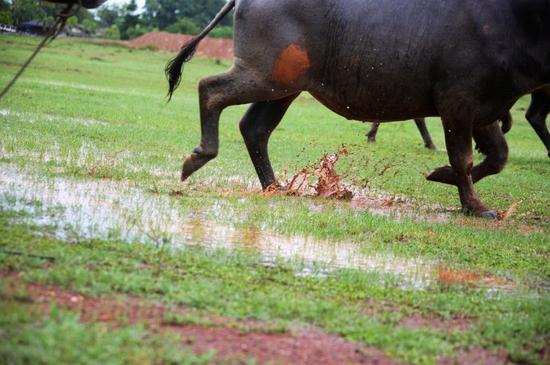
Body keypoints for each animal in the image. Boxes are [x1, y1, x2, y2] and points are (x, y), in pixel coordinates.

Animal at [167, 0, 550, 216]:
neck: (514, 18)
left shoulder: (484, 108)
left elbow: (497, 156)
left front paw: (441, 175)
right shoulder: (458, 102)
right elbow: (464, 158)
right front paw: (475, 207)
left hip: (284, 87)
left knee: (254, 128)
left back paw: (275, 186)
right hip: (264, 75)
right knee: (210, 89)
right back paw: (198, 157)